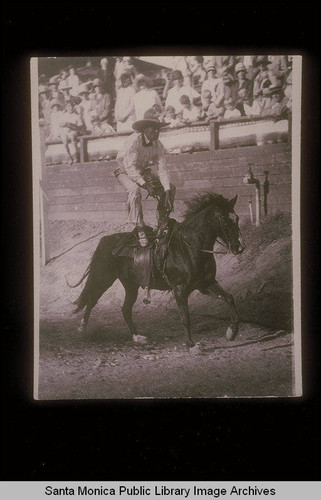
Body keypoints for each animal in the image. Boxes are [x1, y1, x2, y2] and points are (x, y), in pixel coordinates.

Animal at [71, 193, 244, 346]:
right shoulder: (179, 290)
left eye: (236, 218)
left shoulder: (205, 284)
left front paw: (231, 332)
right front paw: (189, 343)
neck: (189, 248)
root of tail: (107, 240)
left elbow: (229, 298)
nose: (240, 247)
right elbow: (185, 317)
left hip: (131, 285)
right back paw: (82, 328)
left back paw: (137, 337)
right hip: (103, 279)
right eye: (224, 219)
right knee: (91, 300)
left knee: (125, 309)